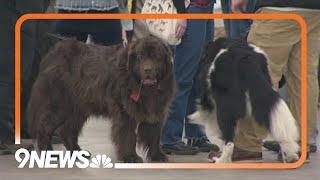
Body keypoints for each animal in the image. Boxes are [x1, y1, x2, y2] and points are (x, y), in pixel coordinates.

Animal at [28, 35, 175, 162]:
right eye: (140, 56)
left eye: (156, 56)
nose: (147, 69)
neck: (144, 87)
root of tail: (52, 54)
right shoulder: (124, 111)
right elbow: (128, 135)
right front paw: (130, 157)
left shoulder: (157, 108)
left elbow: (155, 134)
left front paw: (158, 156)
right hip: (60, 105)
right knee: (44, 128)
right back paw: (48, 153)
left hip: (79, 108)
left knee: (67, 131)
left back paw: (78, 153)